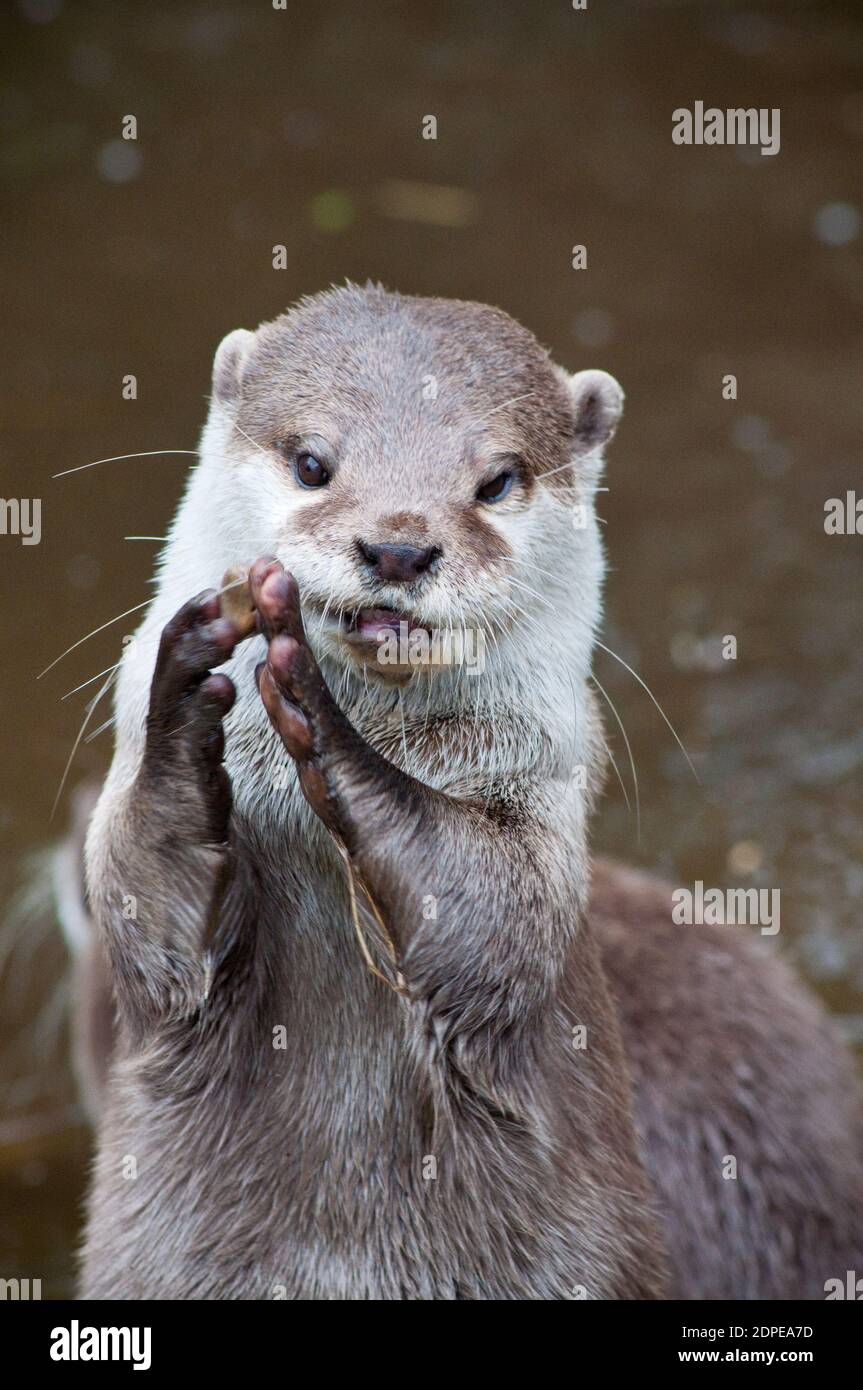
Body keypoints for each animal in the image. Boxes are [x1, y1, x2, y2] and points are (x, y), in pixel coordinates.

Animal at [75, 287, 861, 1295]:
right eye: (311, 462)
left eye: (495, 481)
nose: (397, 547)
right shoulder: (144, 913)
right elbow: (139, 904)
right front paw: (187, 682)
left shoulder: (546, 806)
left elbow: (496, 927)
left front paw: (324, 718)